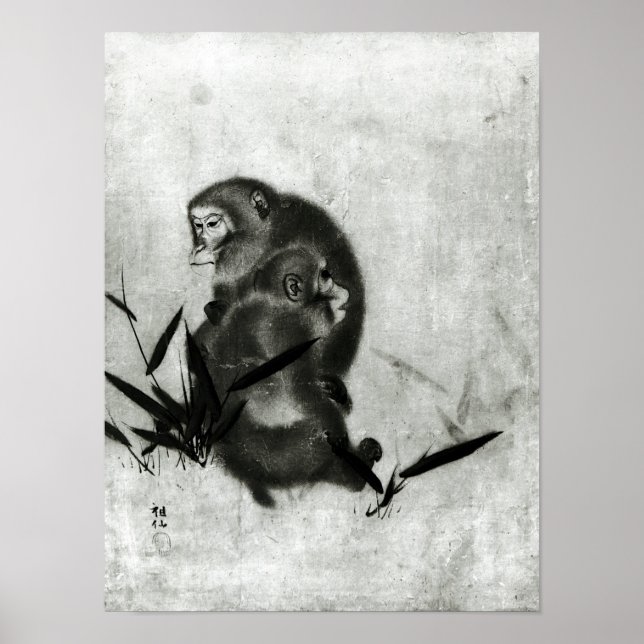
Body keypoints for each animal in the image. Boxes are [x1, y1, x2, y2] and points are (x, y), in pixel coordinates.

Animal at [194, 246, 381, 507]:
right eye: (326, 275)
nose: (344, 289)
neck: (284, 306)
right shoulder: (293, 333)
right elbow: (304, 390)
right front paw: (336, 425)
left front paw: (336, 389)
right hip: (273, 455)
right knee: (316, 442)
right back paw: (356, 474)